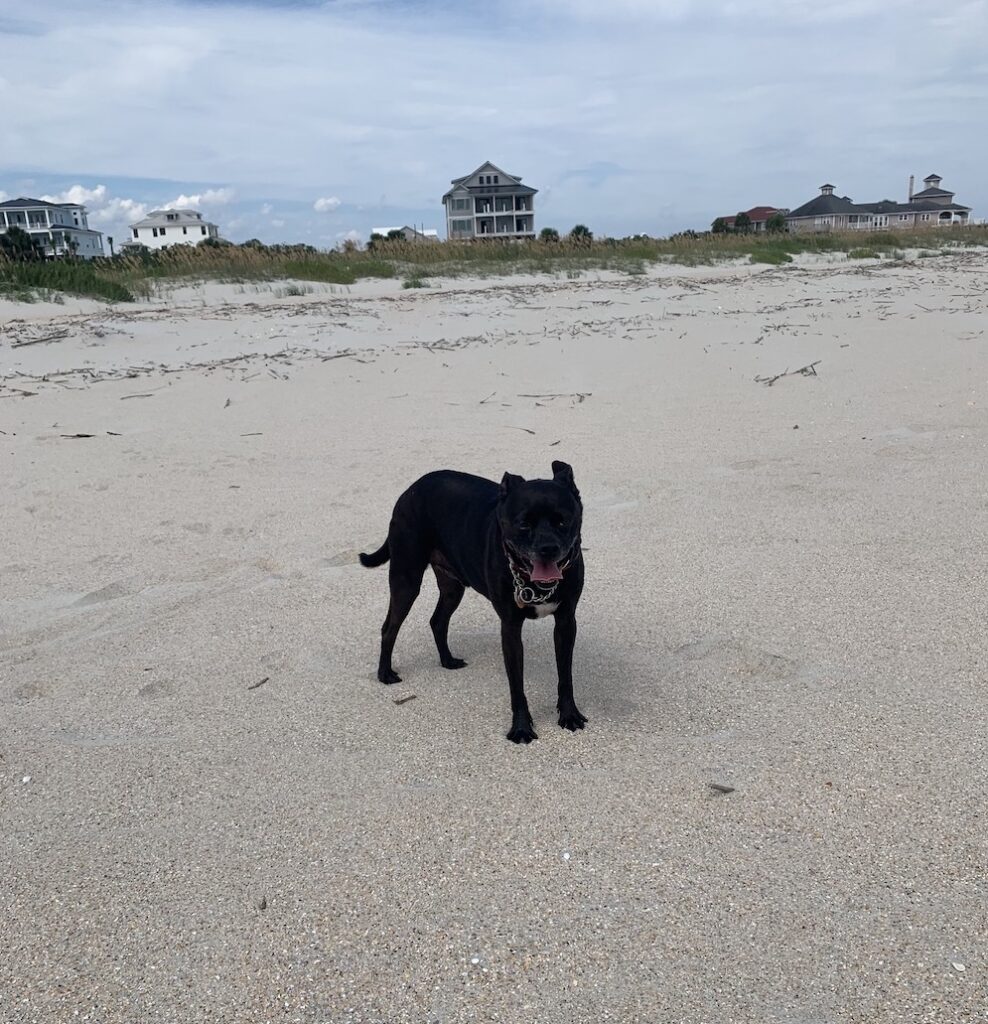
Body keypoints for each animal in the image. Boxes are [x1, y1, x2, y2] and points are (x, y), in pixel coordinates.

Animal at [358, 464, 581, 745]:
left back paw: (447, 660)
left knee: (438, 621)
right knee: (389, 627)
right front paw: (521, 728)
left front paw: (570, 714)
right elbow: (516, 686)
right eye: (523, 524)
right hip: (406, 580)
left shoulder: (565, 623)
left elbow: (566, 676)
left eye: (562, 521)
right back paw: (385, 673)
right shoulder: (510, 629)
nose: (548, 548)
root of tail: (412, 488)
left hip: (452, 588)